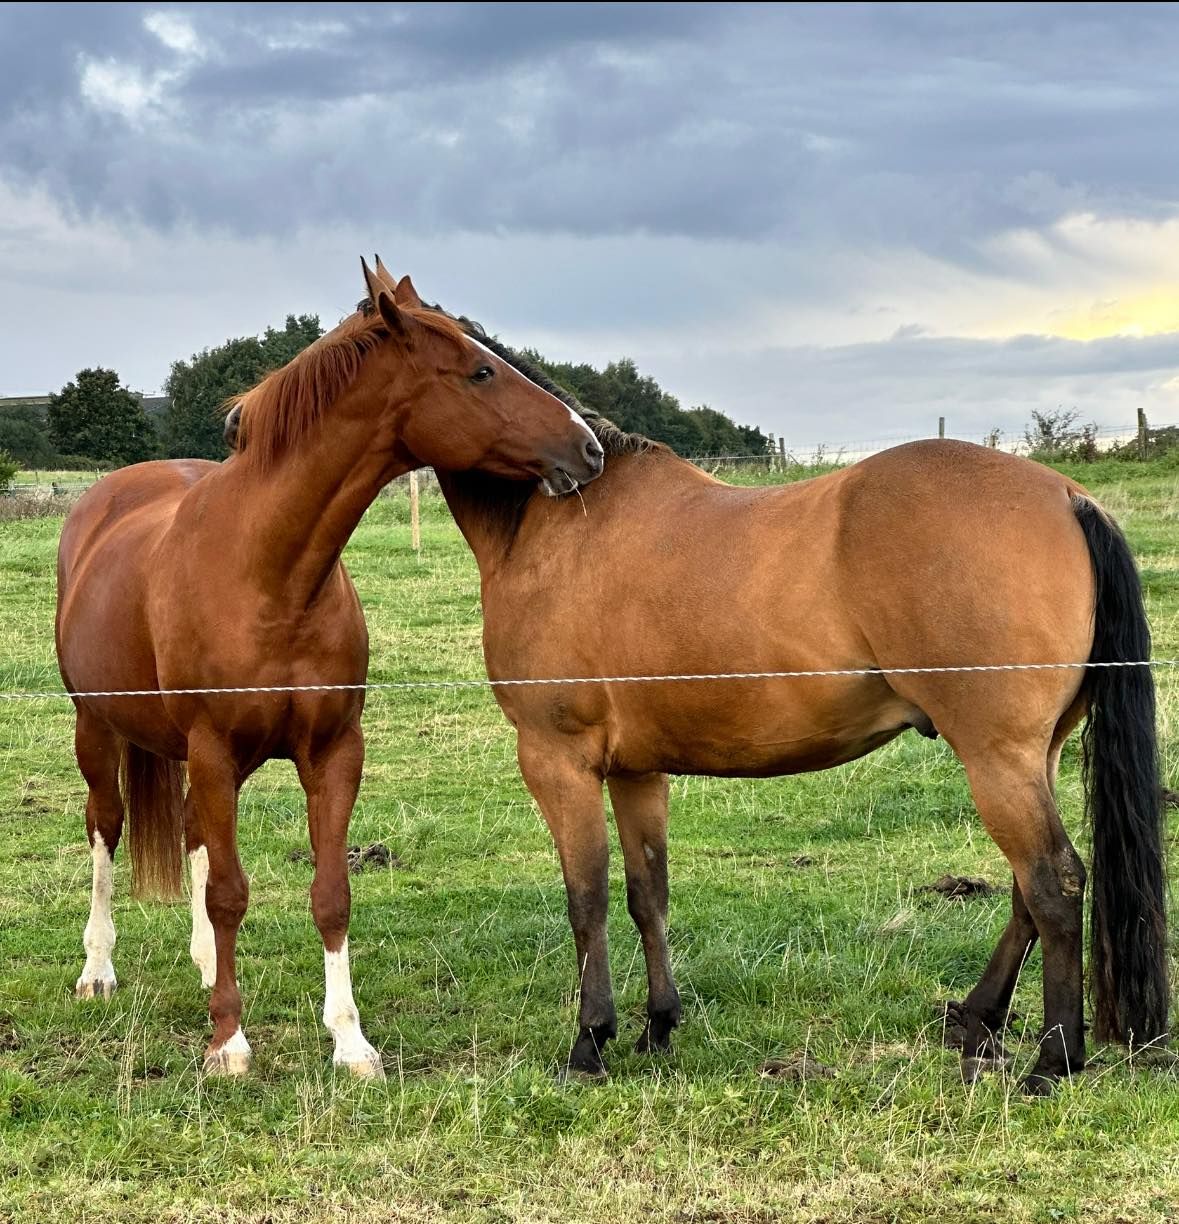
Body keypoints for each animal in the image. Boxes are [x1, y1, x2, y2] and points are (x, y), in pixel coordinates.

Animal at [52, 260, 609, 1082]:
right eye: (479, 371)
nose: (589, 447)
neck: (270, 572)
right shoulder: (214, 751)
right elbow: (230, 892)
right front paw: (229, 1042)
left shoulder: (332, 752)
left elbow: (330, 892)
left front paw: (350, 1041)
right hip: (98, 730)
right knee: (106, 829)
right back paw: (98, 971)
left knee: (189, 832)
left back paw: (202, 965)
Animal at [428, 323, 1165, 1091]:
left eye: (480, 370)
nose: (574, 457)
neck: (561, 525)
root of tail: (1067, 496)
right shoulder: (637, 768)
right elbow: (645, 891)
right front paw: (656, 1029)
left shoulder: (557, 762)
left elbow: (587, 897)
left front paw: (589, 1043)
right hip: (1034, 755)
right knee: (1029, 890)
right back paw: (978, 1022)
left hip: (997, 758)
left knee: (1052, 883)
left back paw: (1052, 1058)